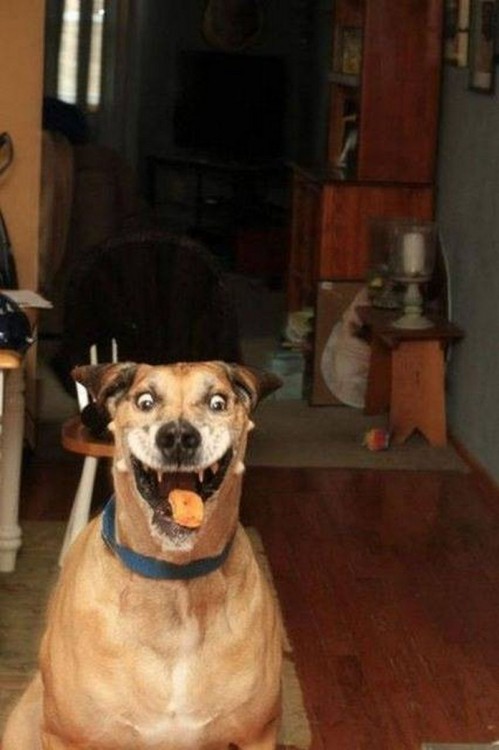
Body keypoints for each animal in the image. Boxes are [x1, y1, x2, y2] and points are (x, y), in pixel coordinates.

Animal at [2, 362, 286, 748]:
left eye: (217, 402)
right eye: (145, 401)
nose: (178, 436)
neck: (174, 582)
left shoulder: (257, 734)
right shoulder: (66, 736)